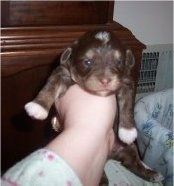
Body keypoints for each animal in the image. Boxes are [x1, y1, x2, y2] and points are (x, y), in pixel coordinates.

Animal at [24, 29, 163, 184]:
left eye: (119, 62)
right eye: (88, 62)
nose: (105, 80)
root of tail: (111, 155)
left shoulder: (126, 82)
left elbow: (127, 106)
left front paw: (127, 131)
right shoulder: (62, 72)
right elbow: (50, 85)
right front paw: (38, 106)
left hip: (130, 148)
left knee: (133, 164)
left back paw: (153, 174)